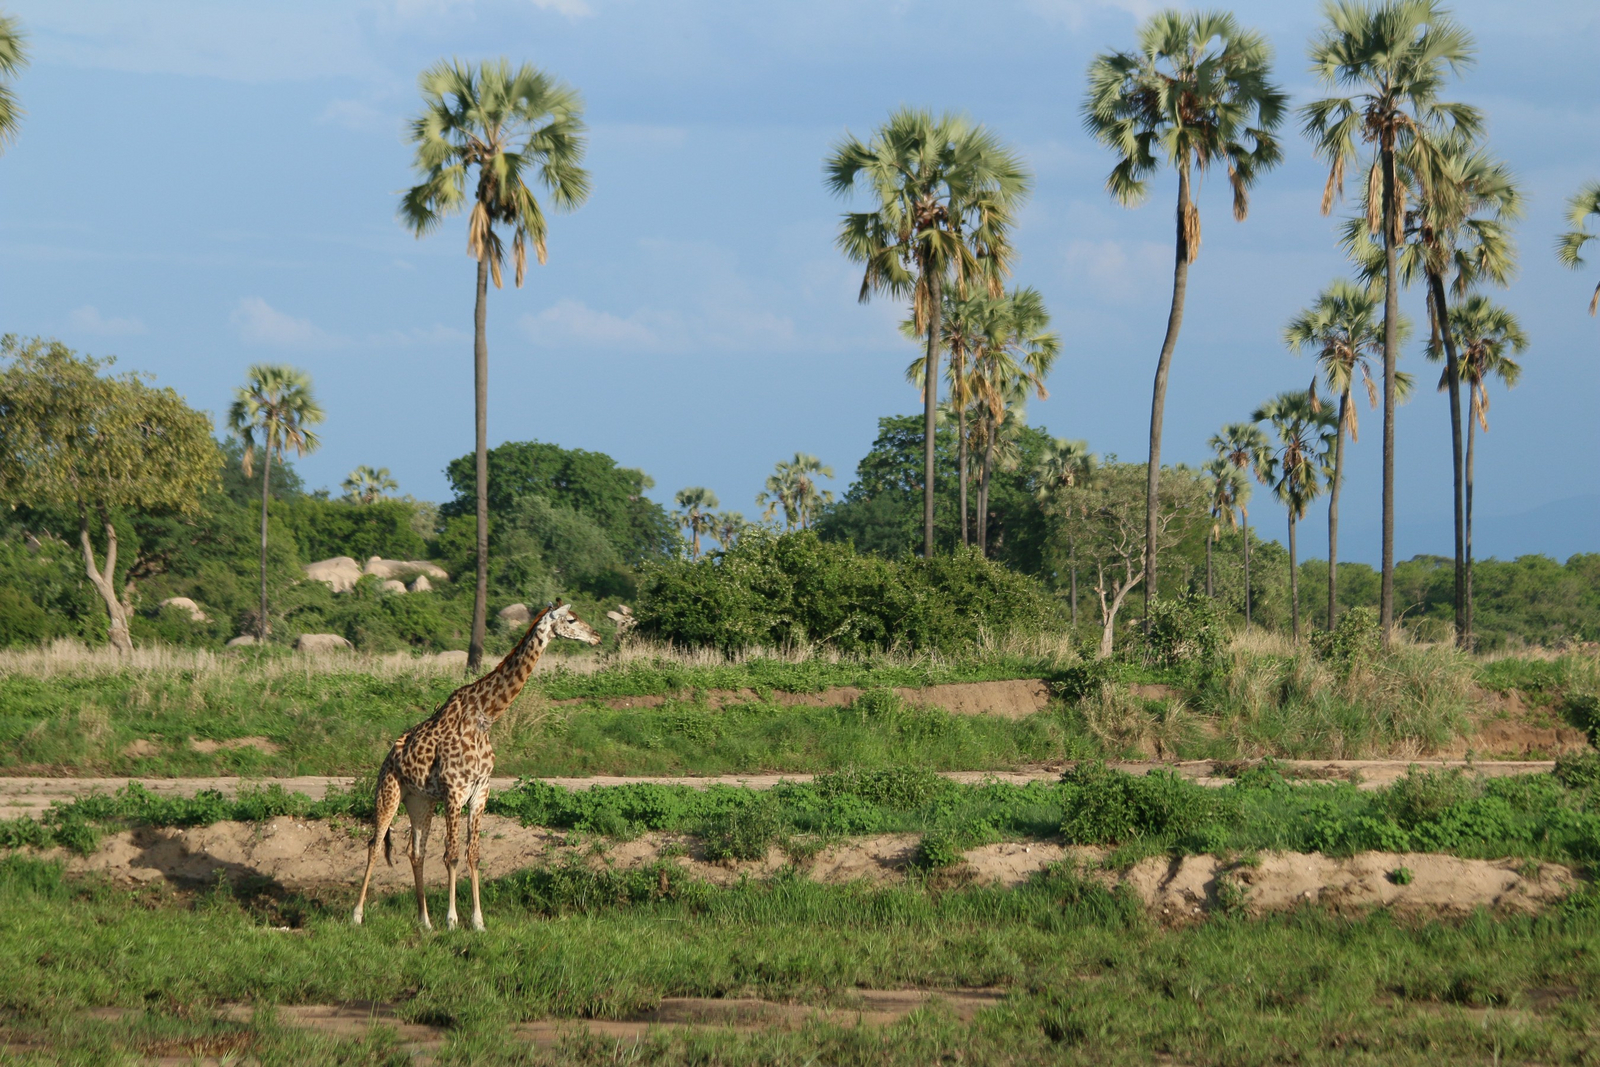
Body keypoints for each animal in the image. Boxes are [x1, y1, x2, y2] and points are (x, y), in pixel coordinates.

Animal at [351, 601, 601, 930]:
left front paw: (478, 922)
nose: (597, 636)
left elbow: (474, 856)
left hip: (420, 801)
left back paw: (424, 921)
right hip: (388, 792)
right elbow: (452, 856)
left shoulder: (480, 792)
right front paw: (452, 920)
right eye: (571, 619)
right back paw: (357, 915)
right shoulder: (454, 792)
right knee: (375, 845)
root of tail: (388, 756)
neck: (486, 715)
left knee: (415, 852)